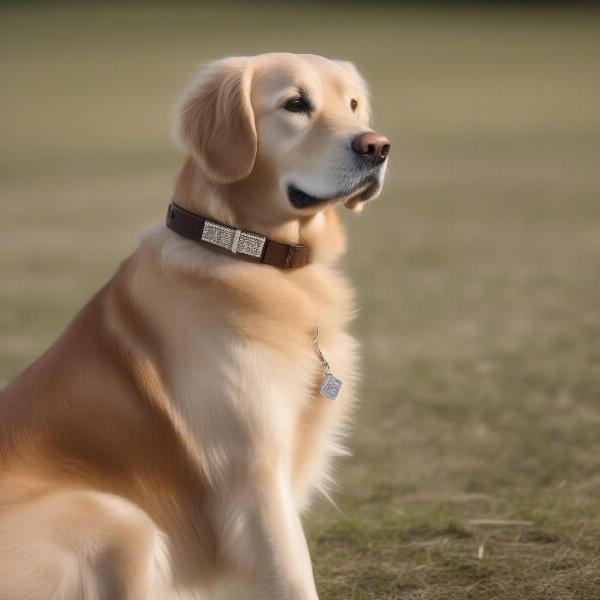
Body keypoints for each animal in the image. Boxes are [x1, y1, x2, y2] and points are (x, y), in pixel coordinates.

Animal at [0, 52, 390, 600]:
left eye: (353, 104)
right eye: (295, 104)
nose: (378, 146)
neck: (253, 257)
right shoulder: (252, 473)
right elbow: (293, 575)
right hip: (125, 520)